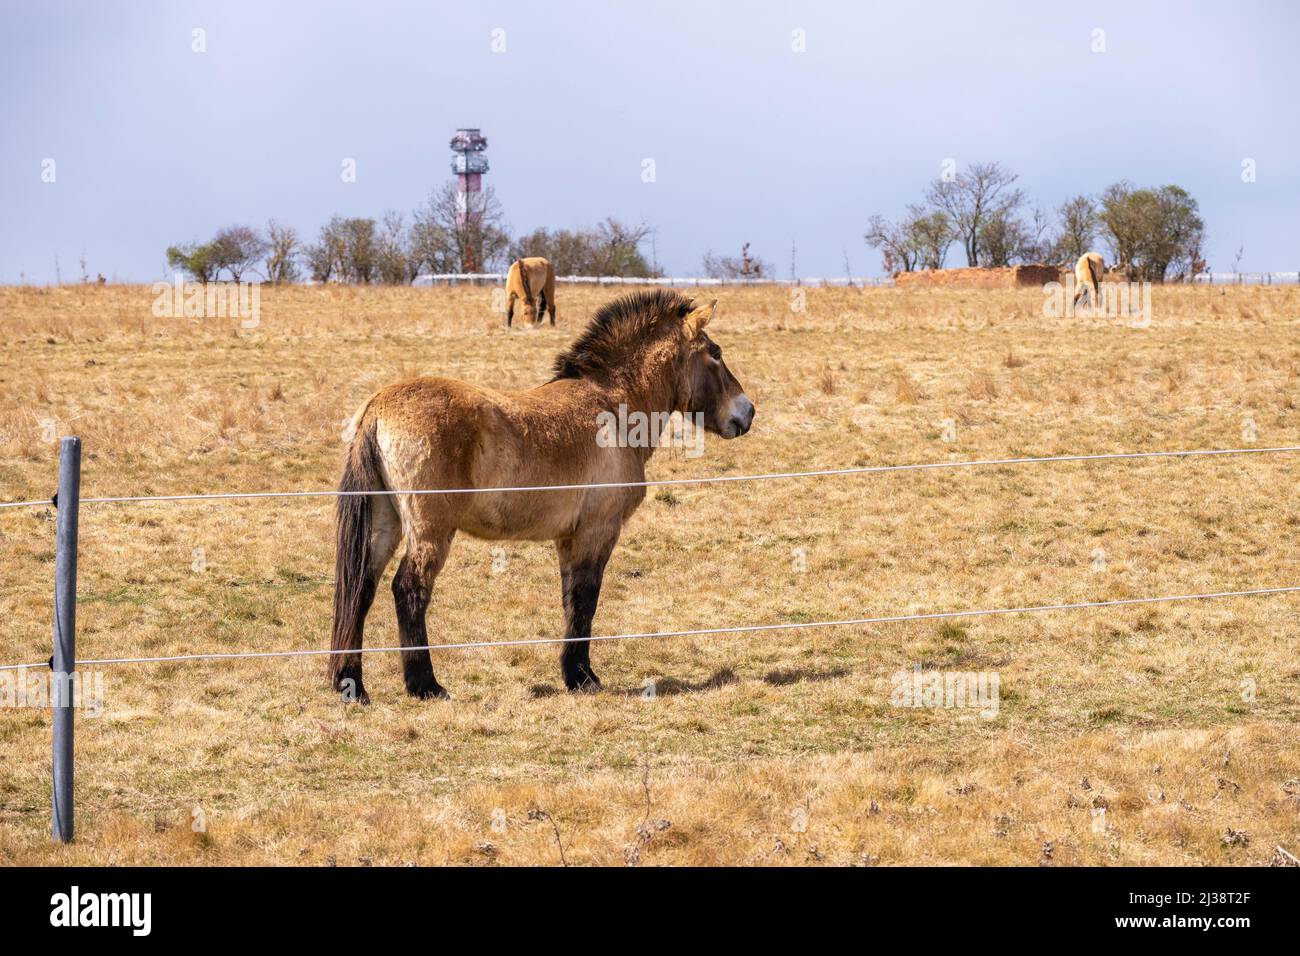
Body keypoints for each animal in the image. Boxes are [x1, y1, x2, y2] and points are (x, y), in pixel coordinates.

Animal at [330, 287, 759, 697]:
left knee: (360, 589)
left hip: (384, 524)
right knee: (409, 590)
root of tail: (377, 407)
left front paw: (574, 673)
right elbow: (587, 598)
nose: (747, 411)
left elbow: (571, 600)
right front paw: (583, 677)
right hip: (429, 531)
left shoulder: (568, 538)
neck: (614, 405)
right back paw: (426, 686)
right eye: (715, 353)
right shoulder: (597, 531)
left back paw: (350, 684)